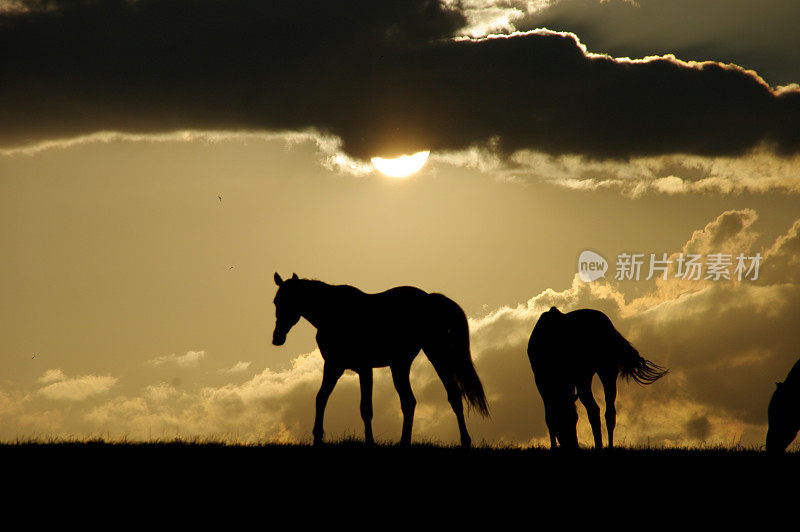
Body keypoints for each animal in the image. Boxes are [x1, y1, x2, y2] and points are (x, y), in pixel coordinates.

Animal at [272, 272, 490, 446]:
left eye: (289, 301)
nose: (277, 338)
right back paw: (407, 442)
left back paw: (463, 441)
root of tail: (431, 299)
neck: (333, 314)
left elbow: (365, 408)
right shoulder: (334, 366)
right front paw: (317, 437)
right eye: (275, 302)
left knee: (450, 395)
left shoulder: (363, 368)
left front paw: (369, 442)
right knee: (413, 401)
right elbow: (321, 398)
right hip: (400, 364)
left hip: (434, 354)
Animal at [524, 308, 668, 448]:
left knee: (594, 408)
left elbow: (548, 417)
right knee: (609, 411)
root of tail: (605, 327)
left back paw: (600, 445)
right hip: (607, 371)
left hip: (586, 376)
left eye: (573, 419)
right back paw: (607, 446)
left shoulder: (543, 383)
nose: (572, 445)